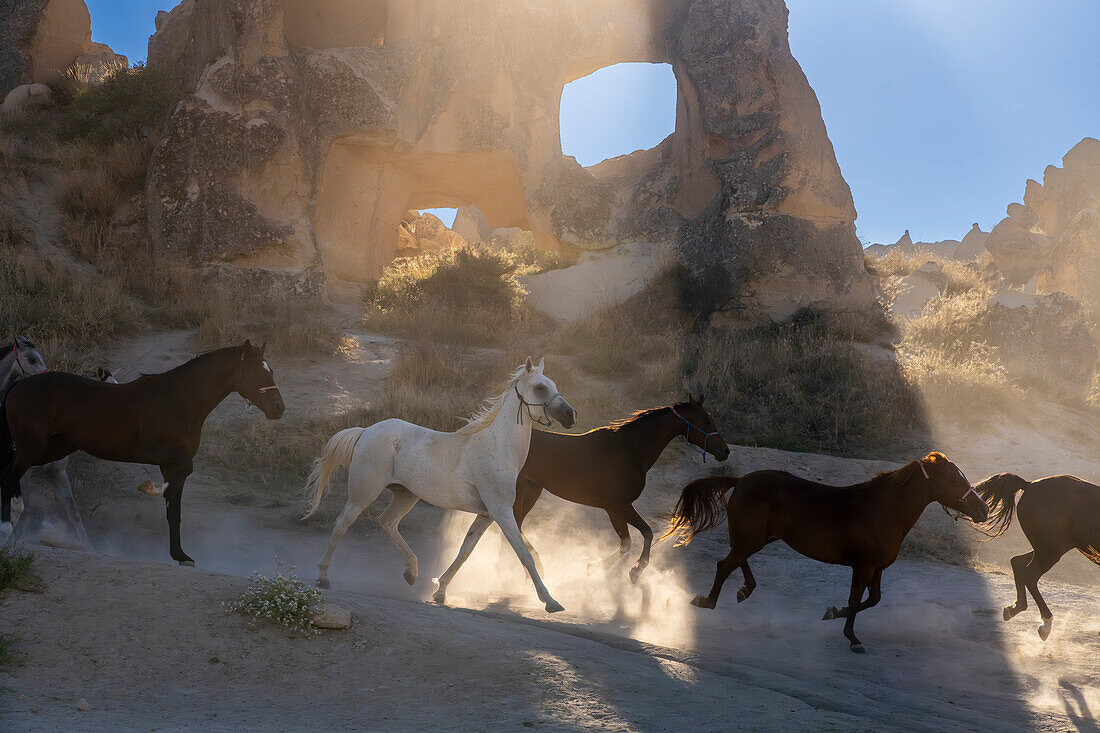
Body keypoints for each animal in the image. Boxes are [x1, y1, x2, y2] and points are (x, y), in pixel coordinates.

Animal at [1, 338, 283, 561]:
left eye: (270, 371)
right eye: (258, 373)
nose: (279, 408)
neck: (180, 400)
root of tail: (19, 386)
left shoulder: (170, 465)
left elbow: (174, 512)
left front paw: (180, 556)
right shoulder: (159, 455)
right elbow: (179, 480)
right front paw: (150, 488)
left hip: (52, 451)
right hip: (31, 449)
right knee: (9, 477)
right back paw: (6, 532)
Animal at [301, 354, 576, 611]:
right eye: (540, 387)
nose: (570, 415)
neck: (497, 447)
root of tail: (366, 431)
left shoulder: (486, 515)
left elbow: (465, 552)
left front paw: (440, 592)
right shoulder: (501, 511)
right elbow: (524, 554)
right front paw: (550, 601)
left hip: (406, 495)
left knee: (387, 522)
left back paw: (411, 573)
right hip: (363, 494)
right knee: (341, 525)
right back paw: (323, 577)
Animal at [429, 394, 730, 594]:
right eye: (706, 420)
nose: (725, 451)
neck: (630, 450)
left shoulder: (619, 507)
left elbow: (637, 537)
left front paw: (606, 568)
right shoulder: (616, 506)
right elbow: (636, 538)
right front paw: (621, 570)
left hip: (531, 490)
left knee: (515, 528)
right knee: (513, 528)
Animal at [660, 451, 990, 651]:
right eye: (953, 478)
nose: (983, 510)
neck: (884, 511)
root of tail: (741, 480)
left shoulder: (877, 569)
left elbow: (873, 600)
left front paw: (833, 613)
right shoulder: (863, 566)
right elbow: (856, 600)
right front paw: (852, 637)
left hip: (757, 539)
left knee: (735, 562)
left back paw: (744, 590)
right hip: (751, 539)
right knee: (724, 565)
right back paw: (707, 601)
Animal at [976, 471, 1100, 638]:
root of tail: (1029, 484)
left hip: (1051, 548)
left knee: (1017, 562)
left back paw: (1014, 608)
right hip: (1049, 551)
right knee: (1029, 575)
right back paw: (1045, 623)